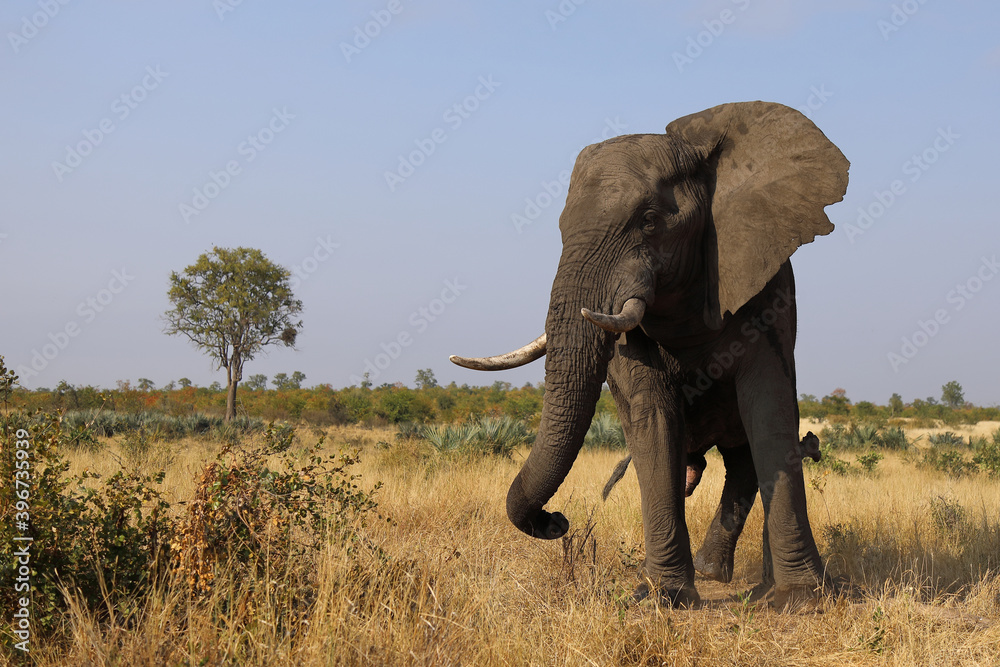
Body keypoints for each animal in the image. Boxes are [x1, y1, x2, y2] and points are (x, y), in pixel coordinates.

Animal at [450, 101, 849, 608]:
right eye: (560, 229)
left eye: (650, 221)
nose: (556, 521)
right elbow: (653, 420)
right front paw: (664, 598)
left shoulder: (767, 289)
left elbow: (770, 411)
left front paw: (802, 599)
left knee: (742, 458)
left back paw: (723, 574)